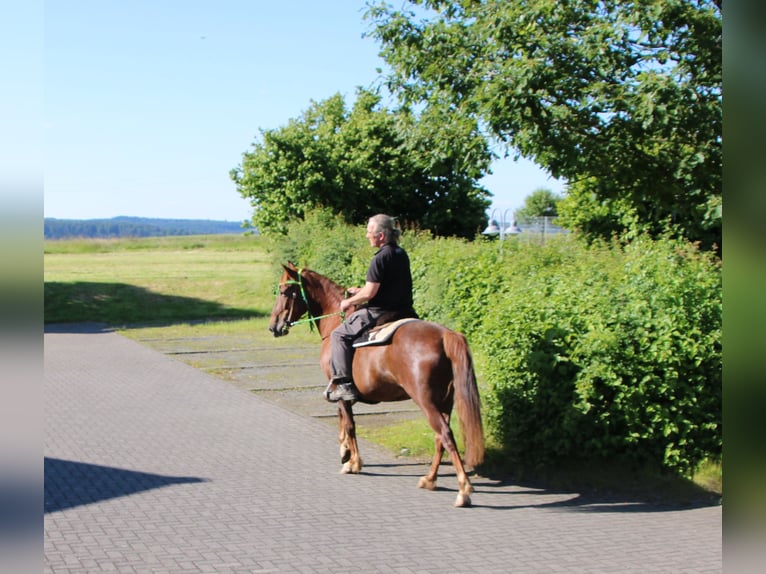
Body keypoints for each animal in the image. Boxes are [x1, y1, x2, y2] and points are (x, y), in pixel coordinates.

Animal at [270, 264, 486, 506]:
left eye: (283, 292)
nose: (273, 326)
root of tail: (444, 335)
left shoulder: (340, 388)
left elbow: (349, 424)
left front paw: (353, 462)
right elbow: (343, 419)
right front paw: (345, 451)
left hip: (427, 401)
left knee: (445, 435)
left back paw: (463, 490)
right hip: (445, 402)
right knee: (440, 438)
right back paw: (430, 479)